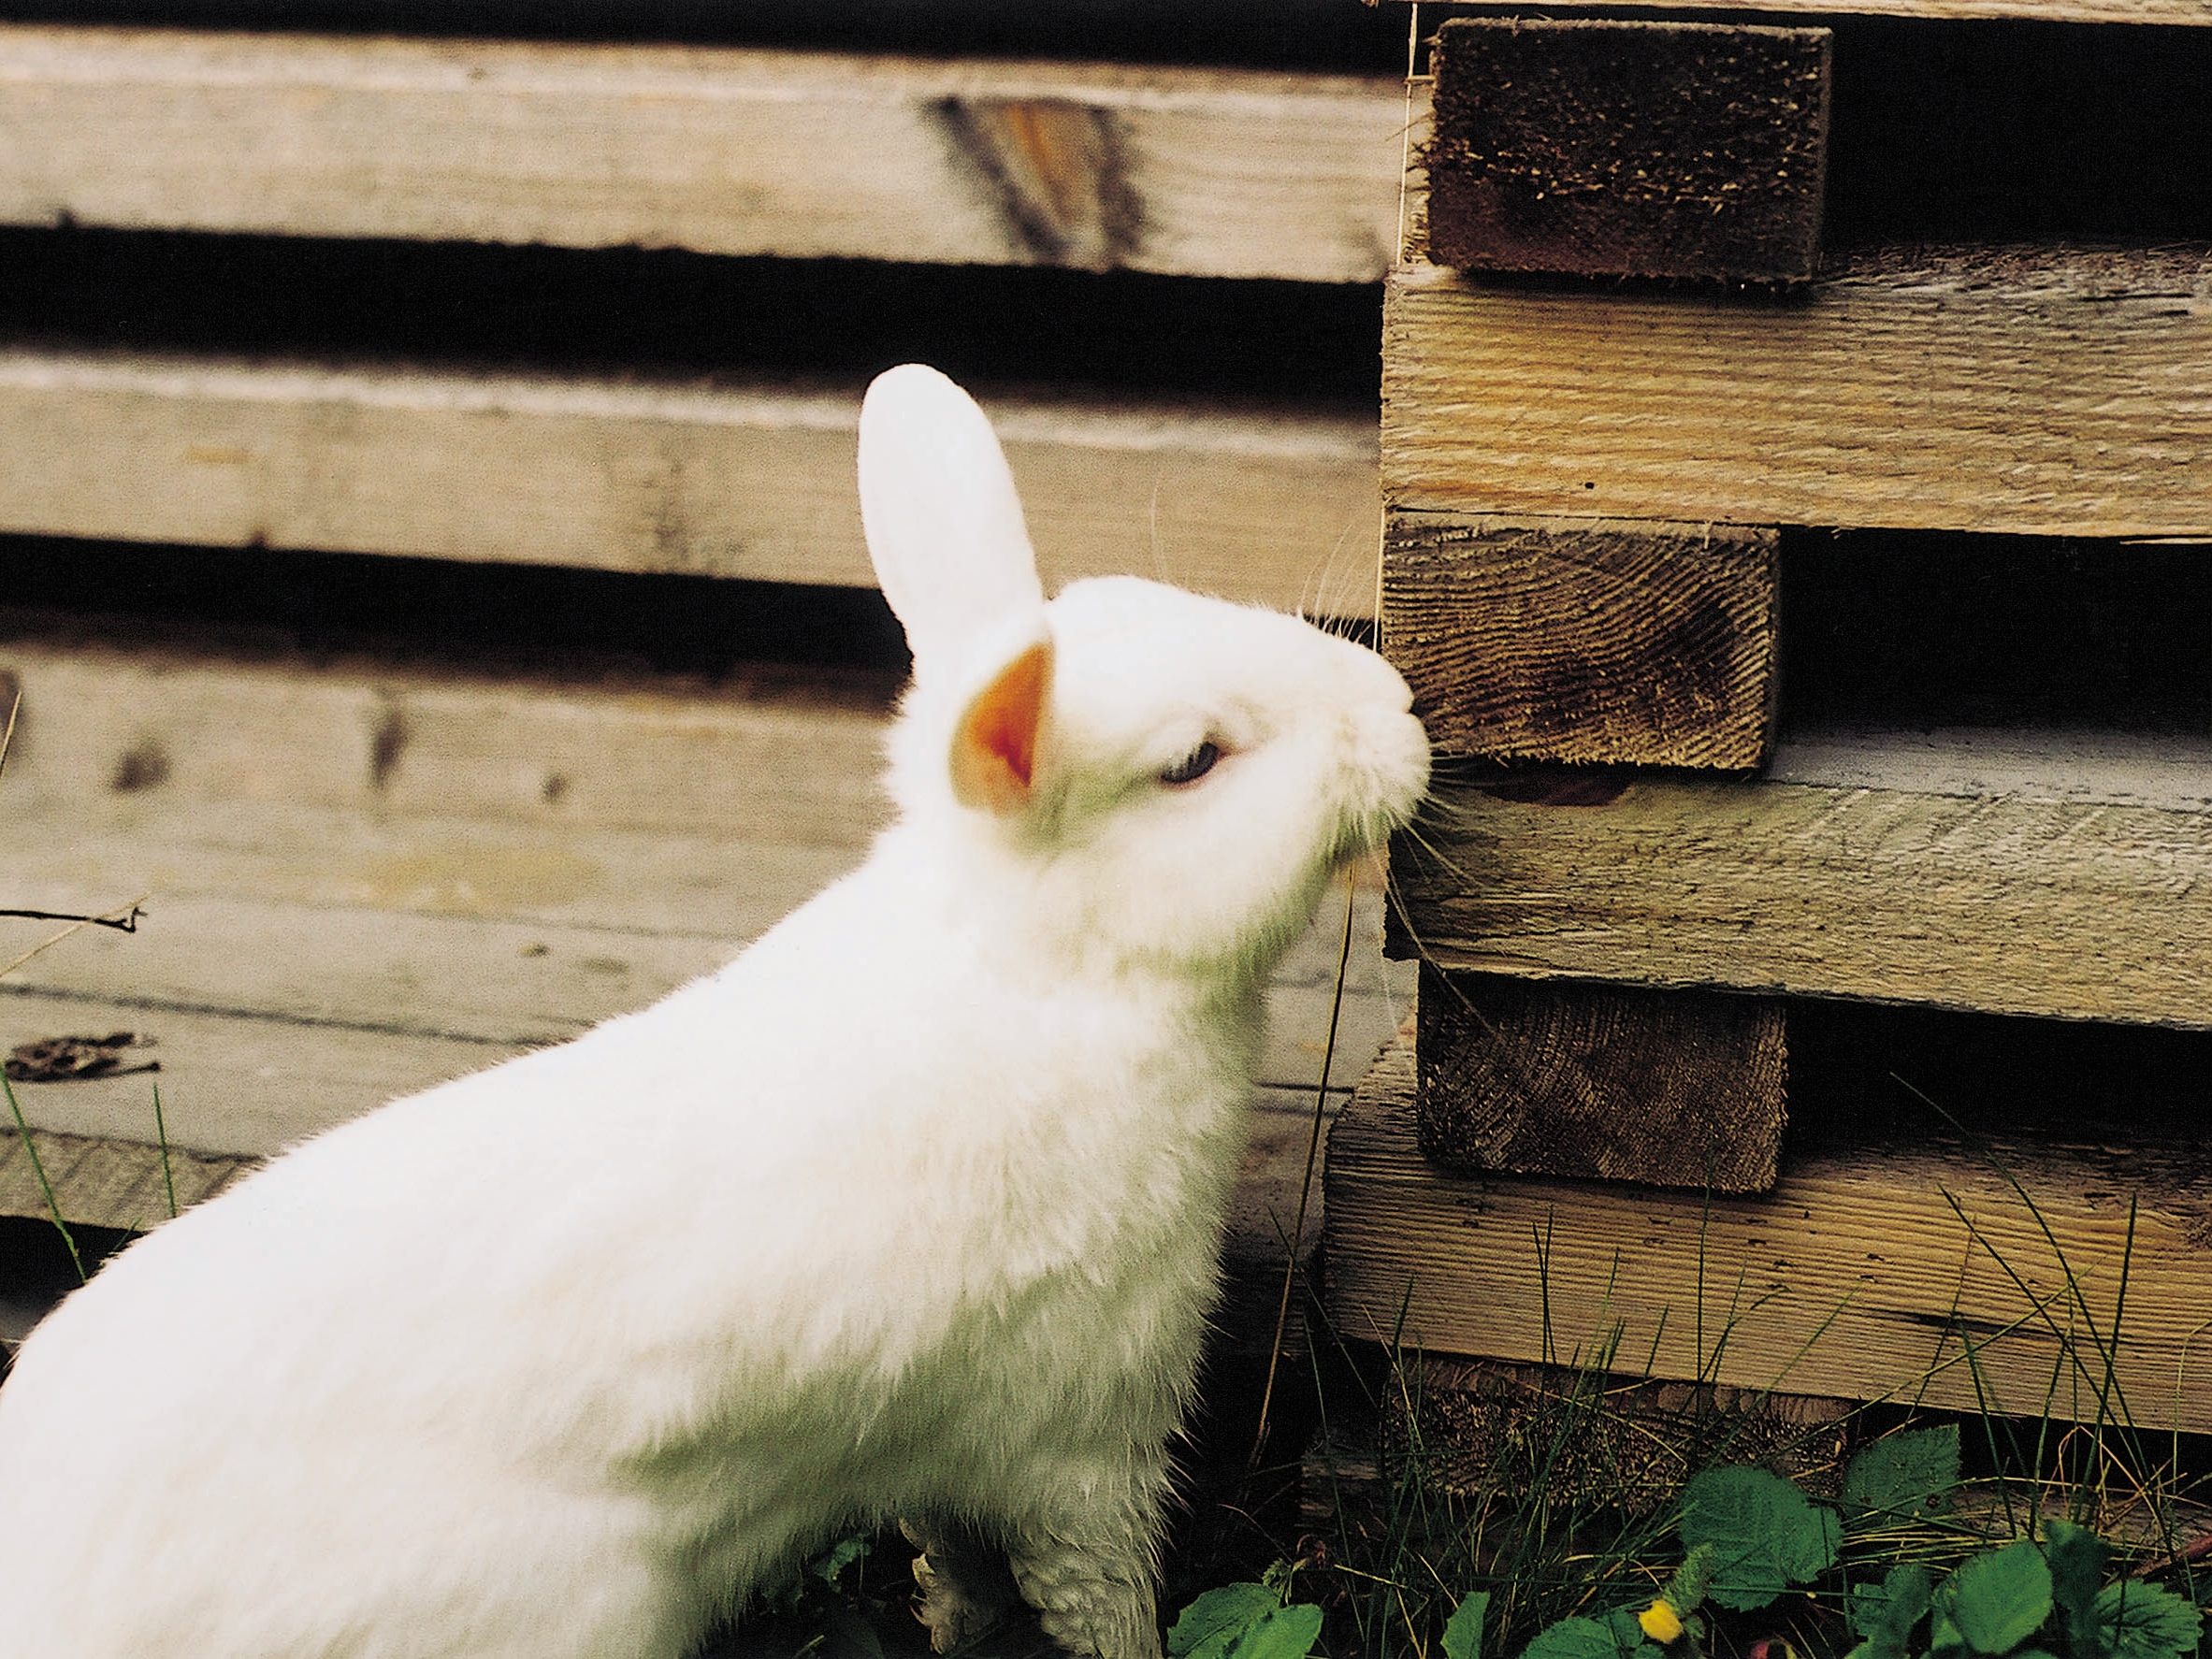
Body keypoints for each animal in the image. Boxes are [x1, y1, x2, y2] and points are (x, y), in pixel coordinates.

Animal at [0, 369, 1424, 1659]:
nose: (1401, 711)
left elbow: (955, 1572)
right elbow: (1097, 1603)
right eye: (1194, 761)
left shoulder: (943, 1452)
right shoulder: (1081, 1439)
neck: (1043, 973)